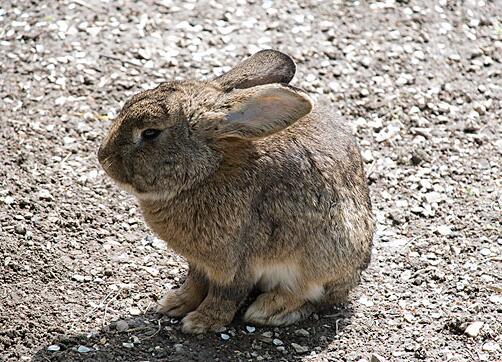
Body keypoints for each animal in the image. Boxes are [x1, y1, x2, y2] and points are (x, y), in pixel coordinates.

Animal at [97, 49, 372, 332]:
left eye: (150, 133)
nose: (103, 157)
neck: (206, 171)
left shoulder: (236, 262)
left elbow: (226, 294)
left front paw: (201, 322)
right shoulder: (199, 262)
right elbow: (195, 282)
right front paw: (174, 304)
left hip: (322, 256)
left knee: (311, 295)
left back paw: (270, 310)